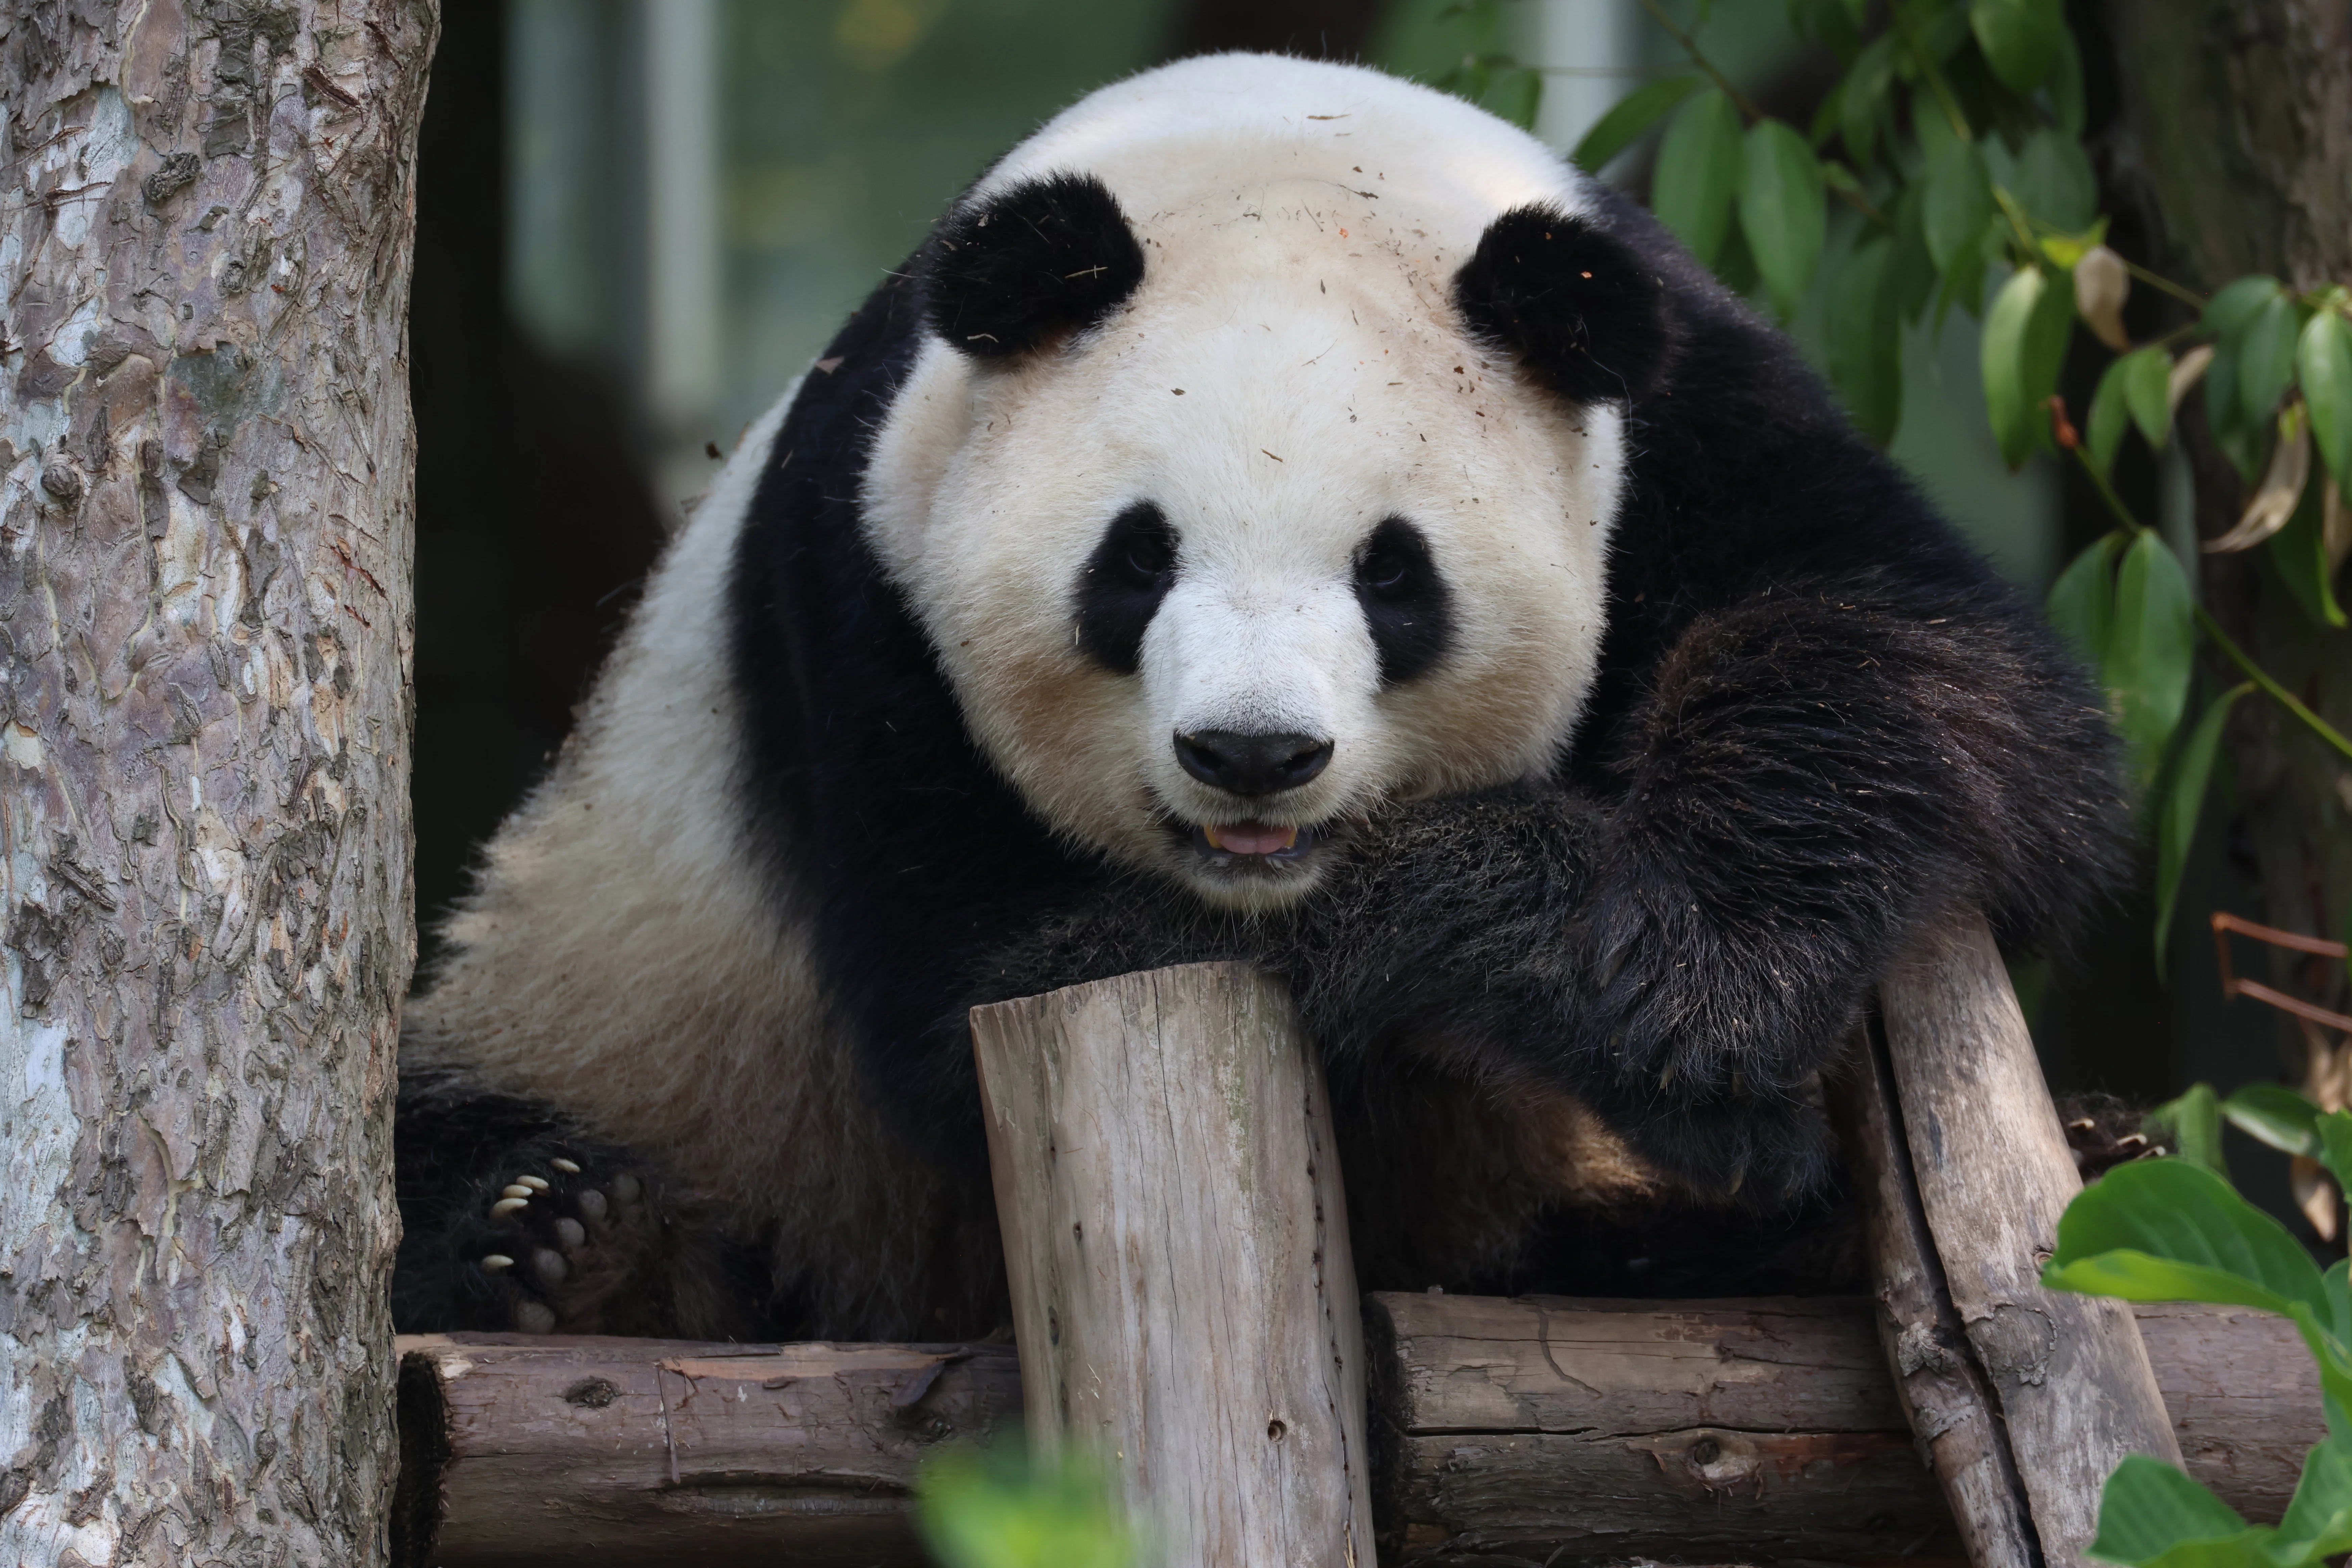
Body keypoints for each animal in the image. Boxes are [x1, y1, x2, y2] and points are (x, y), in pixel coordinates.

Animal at [391, 52, 2125, 1343]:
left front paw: (1695, 1005)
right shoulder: (862, 603)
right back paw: (567, 1248)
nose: (1253, 754)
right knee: (447, 1132)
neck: (1275, 159)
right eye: (1134, 560)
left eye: (1395, 574)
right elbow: (1005, 975)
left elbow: (1910, 668)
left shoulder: (1688, 414)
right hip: (626, 1017)